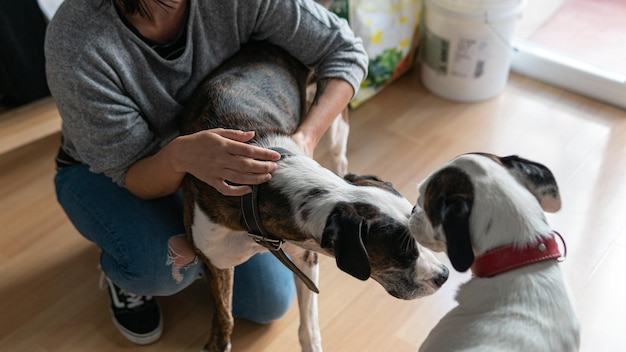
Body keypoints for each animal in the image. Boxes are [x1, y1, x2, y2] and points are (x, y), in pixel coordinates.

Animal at [178, 42, 446, 352]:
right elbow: (225, 315)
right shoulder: (215, 260)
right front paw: (217, 342)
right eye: (403, 252)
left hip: (337, 121)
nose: (445, 274)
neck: (257, 189)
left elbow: (309, 328)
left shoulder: (305, 256)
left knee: (340, 154)